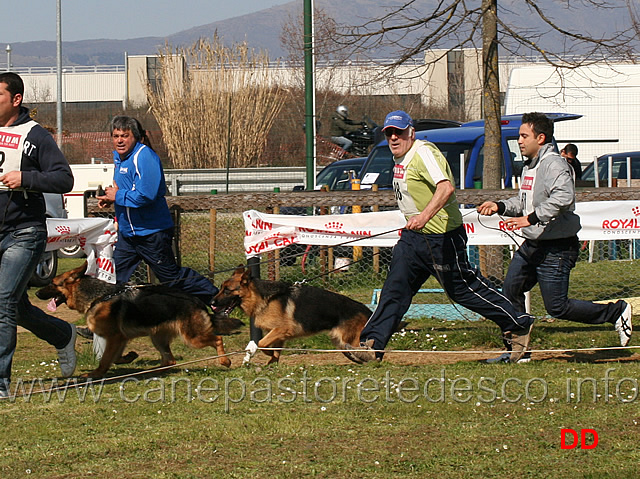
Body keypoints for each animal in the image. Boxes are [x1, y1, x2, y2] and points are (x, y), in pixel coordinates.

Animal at [37, 262, 242, 378]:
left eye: (52, 283)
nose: (37, 293)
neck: (99, 296)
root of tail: (197, 301)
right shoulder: (119, 339)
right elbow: (115, 357)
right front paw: (130, 357)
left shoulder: (114, 338)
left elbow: (105, 359)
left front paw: (95, 374)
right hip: (157, 338)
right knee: (170, 361)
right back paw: (155, 371)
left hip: (192, 338)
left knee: (217, 339)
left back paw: (225, 361)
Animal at [212, 266, 372, 364]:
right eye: (221, 288)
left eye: (227, 290)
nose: (212, 302)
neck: (263, 298)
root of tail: (366, 309)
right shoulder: (278, 334)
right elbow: (275, 351)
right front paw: (272, 362)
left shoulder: (281, 330)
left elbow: (262, 344)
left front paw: (267, 354)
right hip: (342, 343)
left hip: (350, 340)